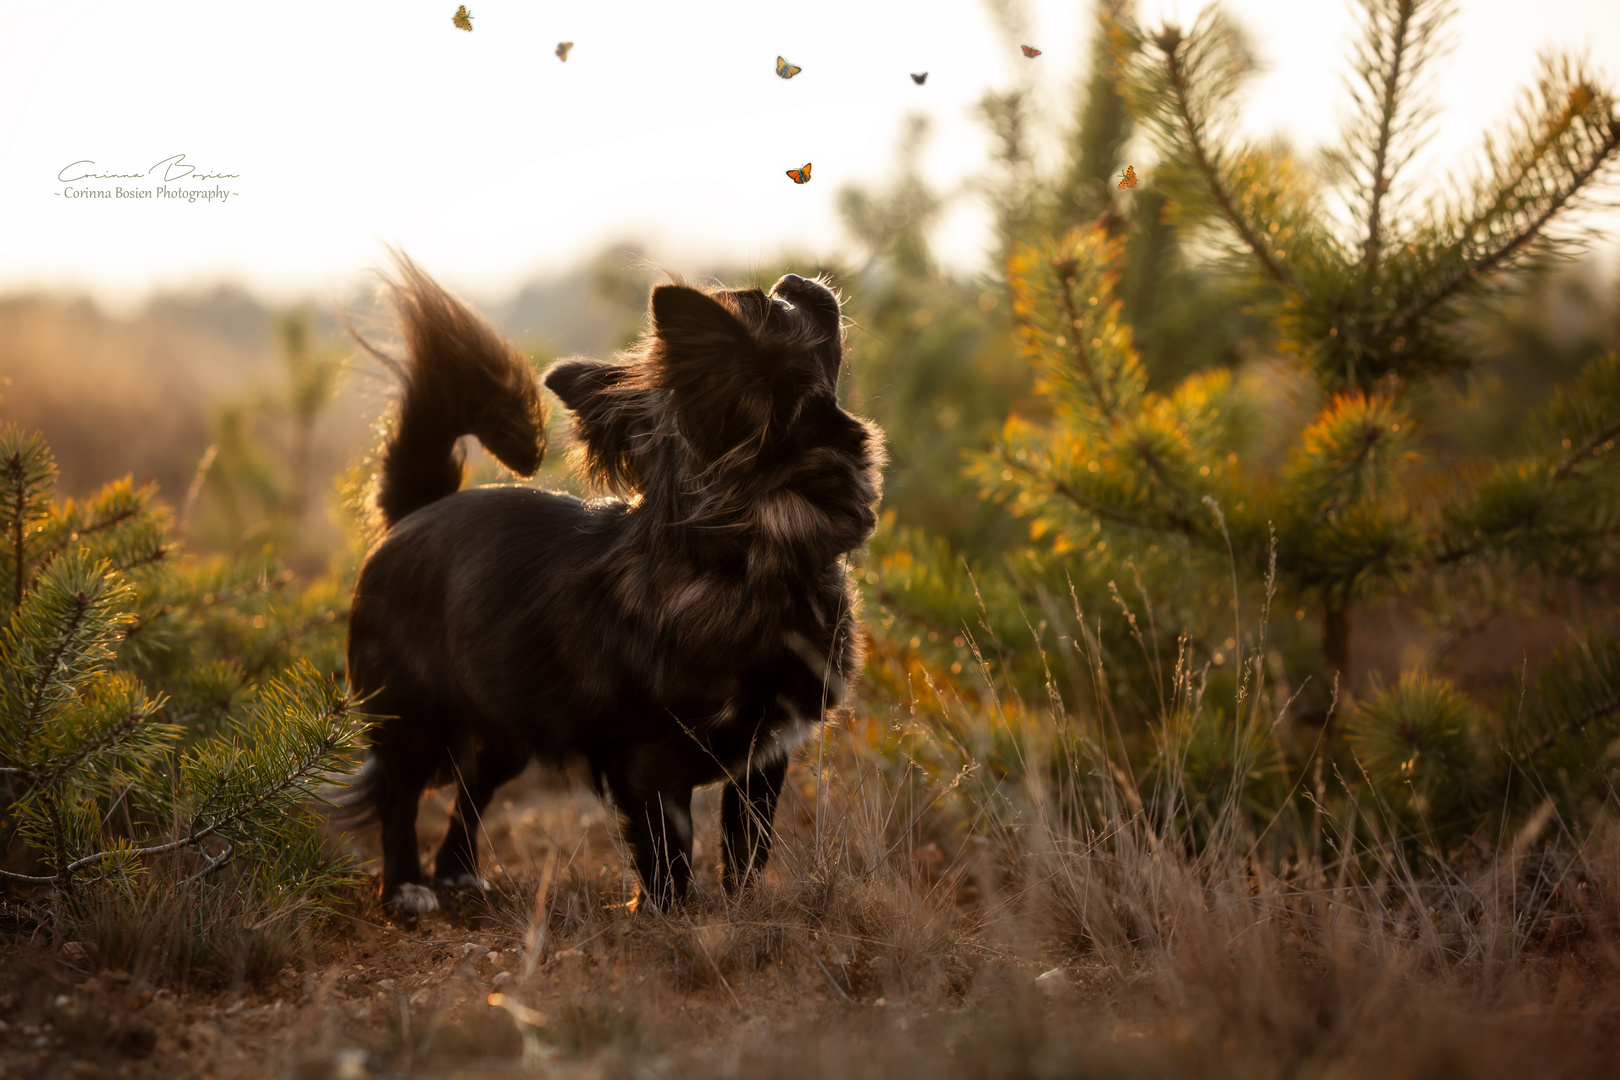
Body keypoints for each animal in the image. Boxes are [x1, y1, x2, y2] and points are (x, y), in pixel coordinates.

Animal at [335, 255, 881, 913]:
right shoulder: (649, 765)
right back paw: (405, 887)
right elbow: (669, 854)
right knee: (399, 796)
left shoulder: (764, 760)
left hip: (508, 728)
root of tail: (416, 511)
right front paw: (672, 918)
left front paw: (742, 913)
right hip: (412, 720)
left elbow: (748, 849)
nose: (794, 279)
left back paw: (458, 872)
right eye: (776, 308)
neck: (749, 558)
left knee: (471, 790)